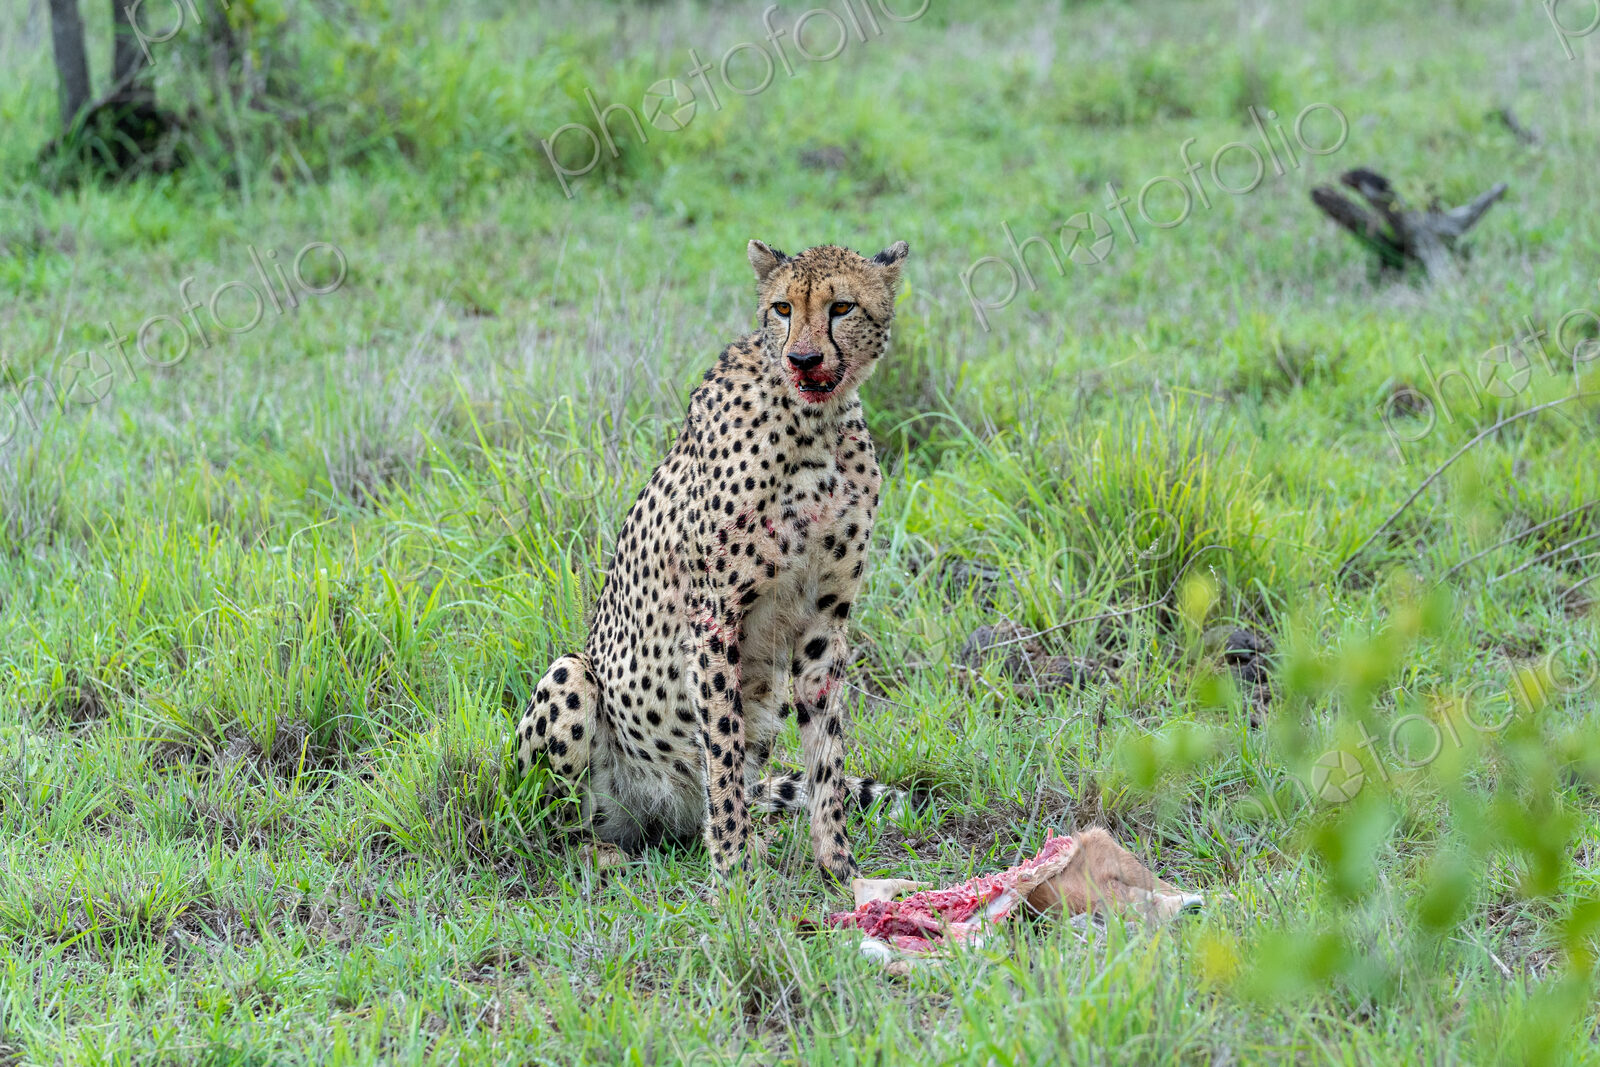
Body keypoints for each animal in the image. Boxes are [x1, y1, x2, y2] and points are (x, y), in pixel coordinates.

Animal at [514, 238, 913, 881]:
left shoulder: (824, 622)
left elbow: (826, 753)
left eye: (842, 307)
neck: (816, 426)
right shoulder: (714, 619)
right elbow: (722, 749)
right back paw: (599, 851)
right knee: (552, 821)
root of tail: (658, 817)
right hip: (572, 677)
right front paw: (732, 876)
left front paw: (838, 865)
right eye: (782, 308)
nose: (803, 359)